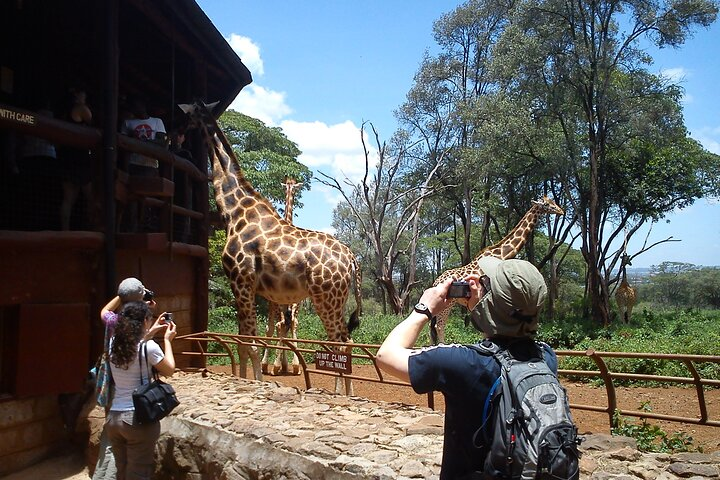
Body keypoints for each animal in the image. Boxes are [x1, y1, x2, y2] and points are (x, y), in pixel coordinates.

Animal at [181, 102, 362, 394]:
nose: (175, 133)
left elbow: (251, 343)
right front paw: (246, 378)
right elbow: (242, 342)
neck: (235, 212)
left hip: (326, 299)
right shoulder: (244, 288)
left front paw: (257, 381)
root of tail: (352, 259)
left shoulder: (242, 282)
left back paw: (345, 394)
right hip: (337, 300)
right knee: (342, 342)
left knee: (343, 343)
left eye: (188, 116)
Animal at [430, 196, 564, 343]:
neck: (499, 255)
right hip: (447, 302)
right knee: (439, 326)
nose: (561, 211)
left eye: (553, 202)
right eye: (547, 204)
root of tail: (435, 282)